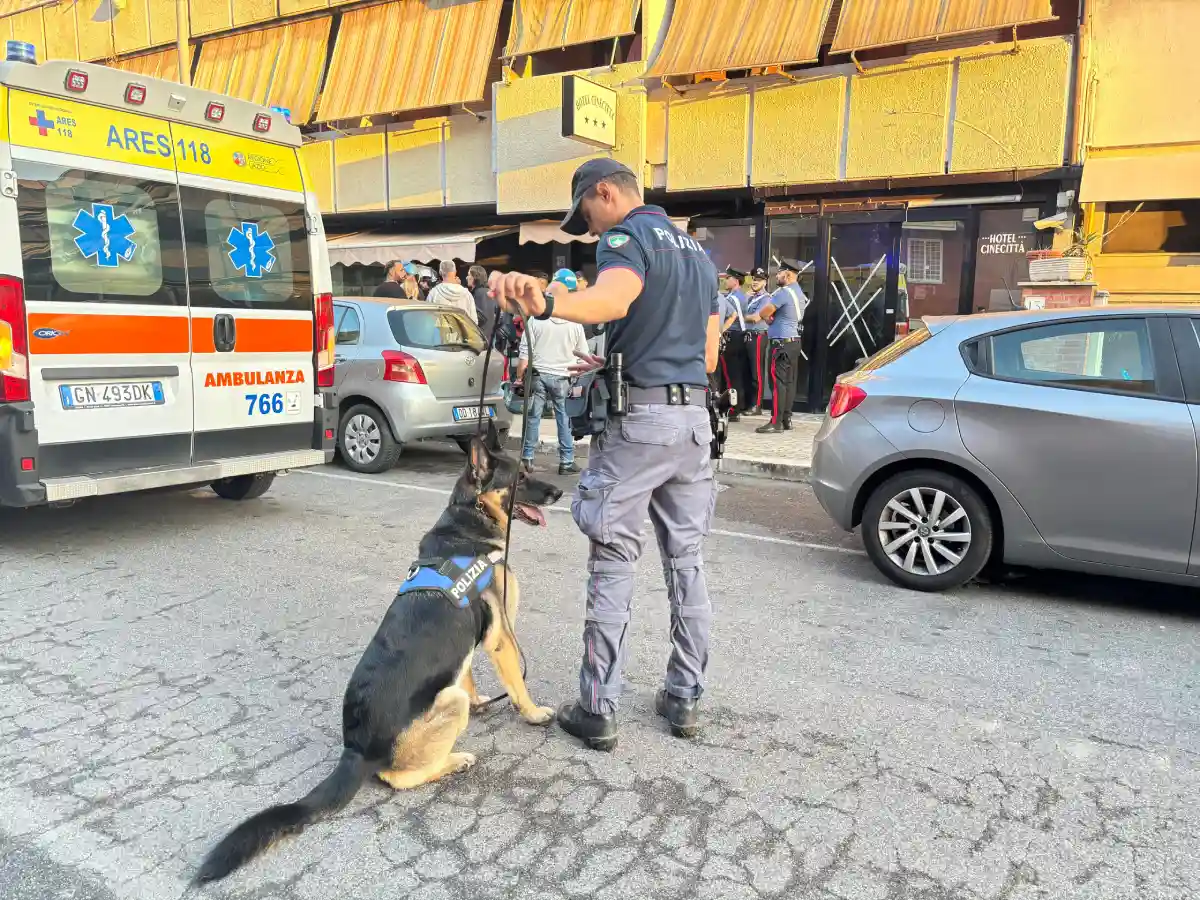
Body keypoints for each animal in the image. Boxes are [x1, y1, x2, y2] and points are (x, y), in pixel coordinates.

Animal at [199, 441, 564, 883]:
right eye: (522, 477)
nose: (561, 492)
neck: (468, 519)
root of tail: (355, 748)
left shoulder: (468, 642)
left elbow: (466, 673)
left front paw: (483, 701)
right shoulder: (501, 639)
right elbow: (517, 686)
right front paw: (534, 713)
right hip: (446, 709)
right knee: (397, 777)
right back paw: (454, 760)